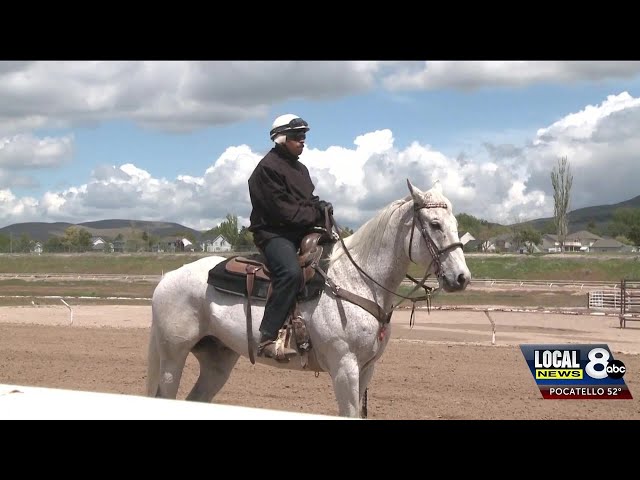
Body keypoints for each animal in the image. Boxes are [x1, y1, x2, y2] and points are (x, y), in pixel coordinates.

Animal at [146, 178, 470, 418]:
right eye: (435, 224)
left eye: (455, 224)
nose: (461, 278)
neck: (358, 280)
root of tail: (168, 278)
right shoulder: (344, 367)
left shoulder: (367, 368)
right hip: (173, 356)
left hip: (217, 360)